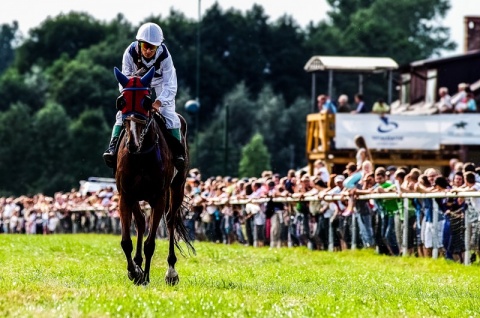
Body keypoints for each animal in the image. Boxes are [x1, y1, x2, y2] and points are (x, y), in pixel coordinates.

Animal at [113, 67, 195, 286]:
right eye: (122, 101)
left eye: (147, 101)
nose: (132, 142)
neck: (141, 155)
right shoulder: (126, 195)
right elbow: (126, 241)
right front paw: (135, 271)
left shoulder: (158, 196)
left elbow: (151, 243)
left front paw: (147, 275)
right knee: (141, 221)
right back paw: (138, 263)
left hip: (177, 186)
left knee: (171, 220)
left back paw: (170, 271)